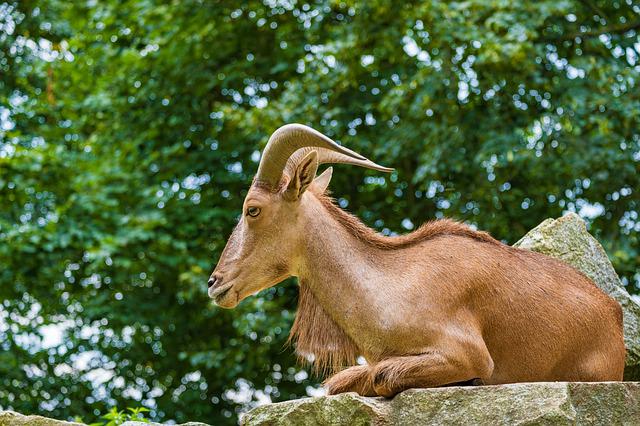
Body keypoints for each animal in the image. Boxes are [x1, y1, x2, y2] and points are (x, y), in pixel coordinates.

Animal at [206, 125, 624, 398]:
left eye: (252, 209)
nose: (215, 283)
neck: (386, 287)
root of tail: (613, 312)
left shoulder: (466, 353)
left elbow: (379, 376)